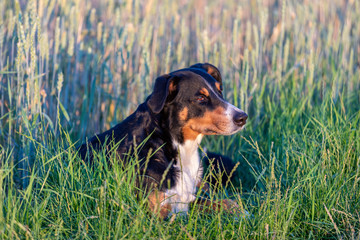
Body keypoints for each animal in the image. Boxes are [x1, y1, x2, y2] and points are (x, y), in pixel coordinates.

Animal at [78, 62, 248, 218]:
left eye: (220, 91)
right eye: (201, 98)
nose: (243, 117)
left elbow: (218, 201)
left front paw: (239, 209)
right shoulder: (158, 209)